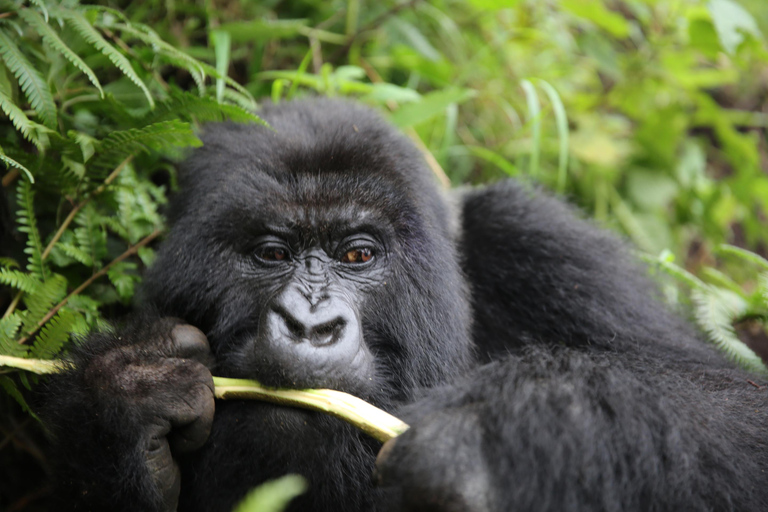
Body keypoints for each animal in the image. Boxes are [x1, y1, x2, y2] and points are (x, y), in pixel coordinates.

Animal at [40, 100, 768, 512]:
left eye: (358, 254)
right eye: (272, 252)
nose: (309, 325)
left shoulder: (541, 247)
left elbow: (735, 414)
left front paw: (508, 428)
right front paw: (128, 399)